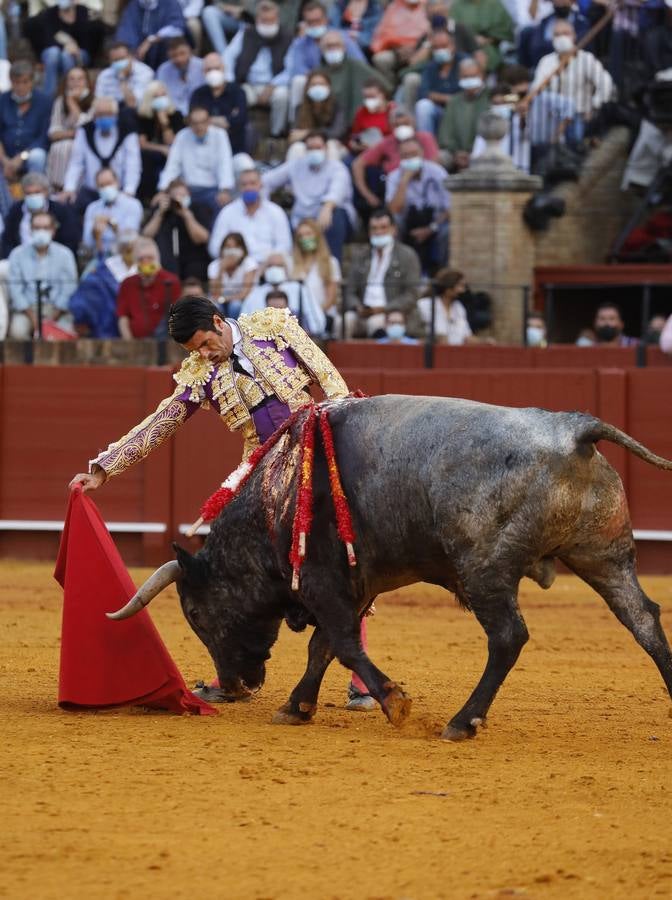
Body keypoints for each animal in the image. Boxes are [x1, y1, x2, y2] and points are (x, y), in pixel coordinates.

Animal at [107, 398, 672, 740]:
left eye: (198, 617)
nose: (232, 684)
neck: (276, 501)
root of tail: (573, 429)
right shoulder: (352, 586)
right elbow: (323, 648)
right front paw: (296, 707)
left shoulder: (324, 582)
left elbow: (342, 644)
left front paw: (394, 702)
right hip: (604, 555)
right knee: (643, 617)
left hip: (484, 568)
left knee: (508, 636)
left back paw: (462, 721)